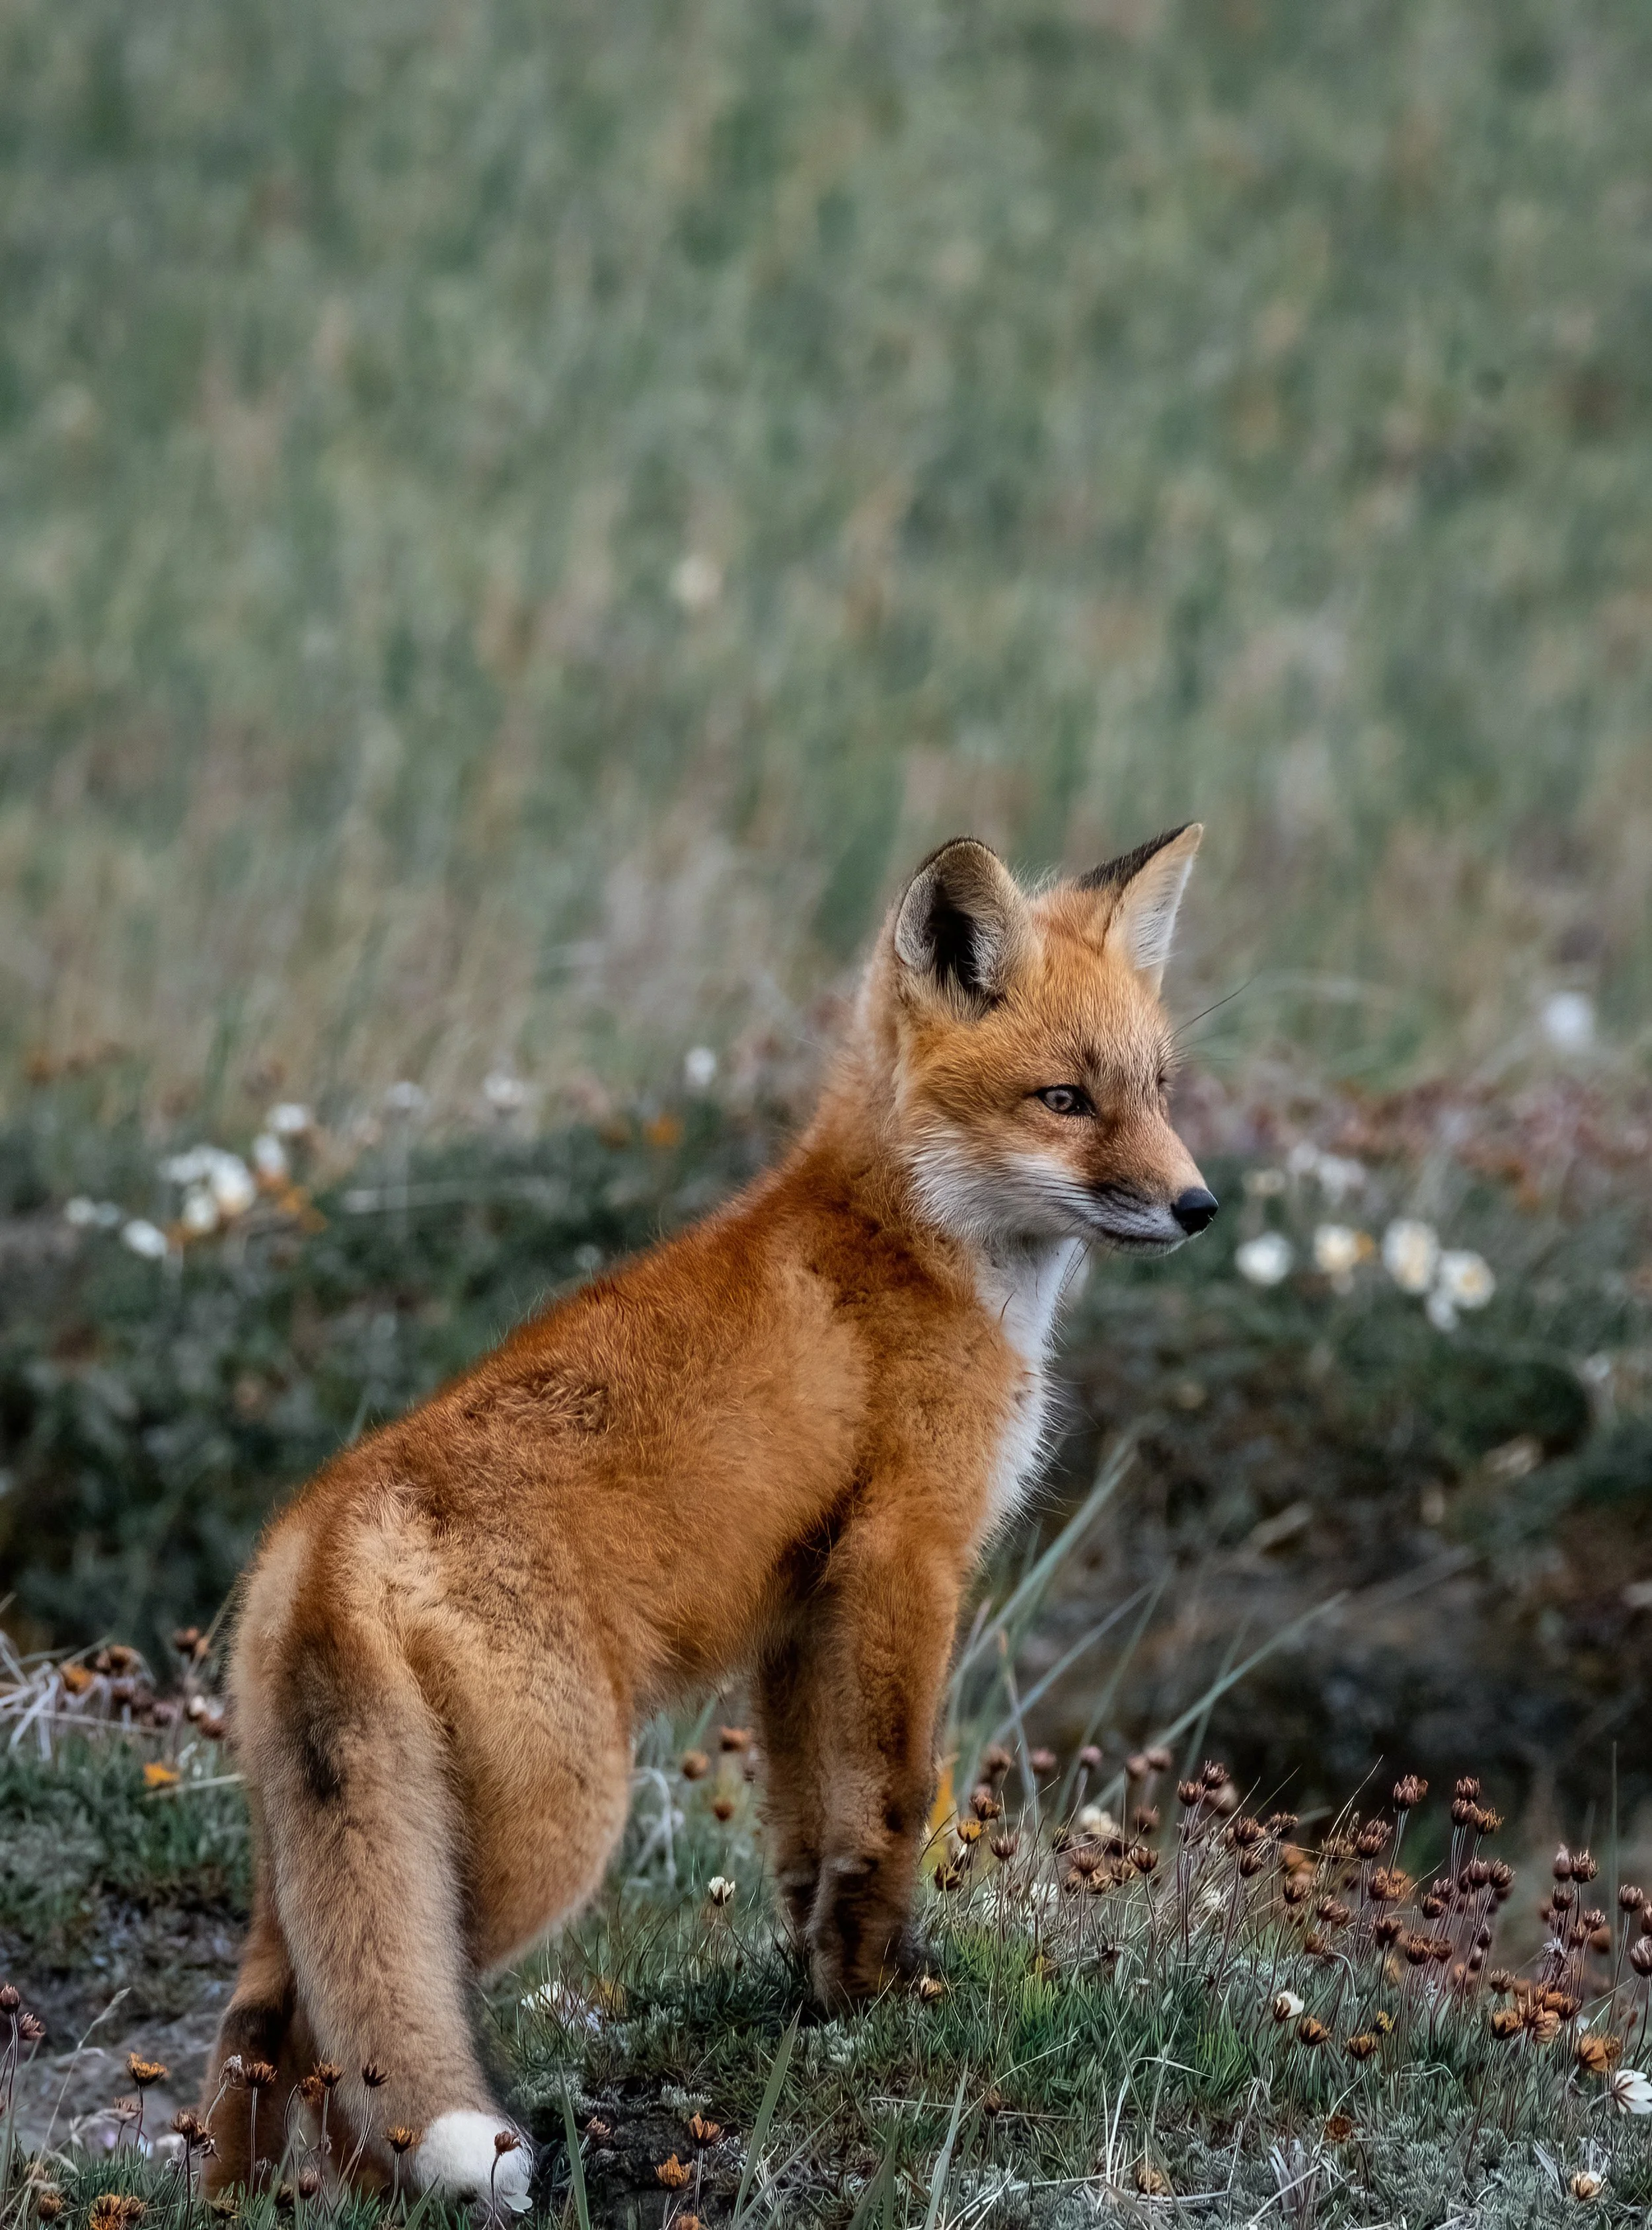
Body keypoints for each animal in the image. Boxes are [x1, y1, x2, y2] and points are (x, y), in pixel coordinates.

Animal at [202, 825, 1219, 2207]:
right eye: (1065, 1100)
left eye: (1159, 1090)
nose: (1198, 1206)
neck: (914, 1249)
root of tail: (324, 1538)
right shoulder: (909, 1556)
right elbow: (892, 1797)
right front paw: (884, 1989)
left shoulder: (800, 1614)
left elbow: (807, 1829)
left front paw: (824, 1987)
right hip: (535, 1838)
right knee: (338, 2043)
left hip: (310, 1852)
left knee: (256, 2023)